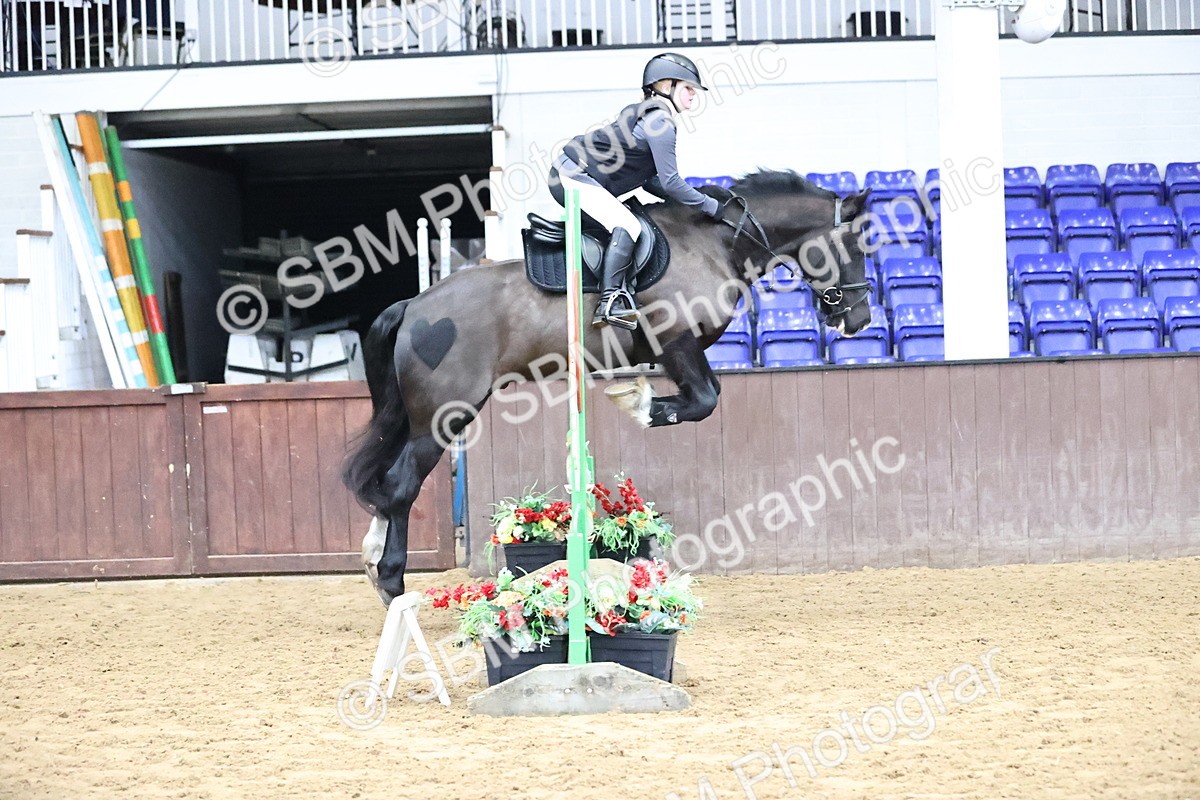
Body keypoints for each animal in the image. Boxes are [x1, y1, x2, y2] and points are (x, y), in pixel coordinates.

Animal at [343, 170, 873, 604]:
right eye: (859, 248)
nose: (860, 320)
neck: (716, 244)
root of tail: (415, 304)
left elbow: (703, 400)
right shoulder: (676, 342)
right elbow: (703, 401)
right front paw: (637, 402)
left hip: (423, 417)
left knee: (389, 480)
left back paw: (372, 558)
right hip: (444, 413)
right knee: (401, 483)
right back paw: (390, 581)